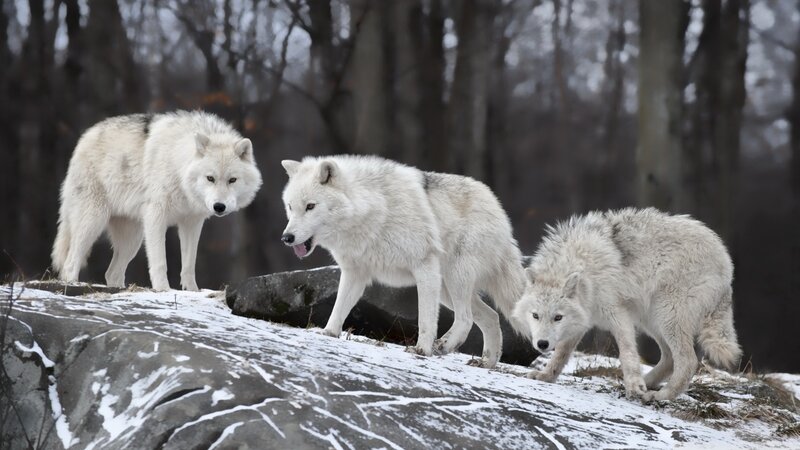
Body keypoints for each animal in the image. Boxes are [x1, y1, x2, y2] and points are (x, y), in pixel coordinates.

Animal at [52, 111, 262, 291]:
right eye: (210, 178)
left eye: (232, 180)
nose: (219, 207)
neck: (178, 165)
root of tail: (85, 137)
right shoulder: (156, 216)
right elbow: (160, 262)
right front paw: (163, 289)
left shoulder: (192, 223)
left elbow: (189, 264)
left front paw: (192, 291)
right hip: (94, 222)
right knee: (70, 263)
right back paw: (72, 284)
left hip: (132, 239)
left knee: (112, 273)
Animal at [279, 155, 526, 367]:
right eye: (290, 207)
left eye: (310, 206)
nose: (286, 238)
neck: (373, 210)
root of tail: (497, 207)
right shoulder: (354, 273)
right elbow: (339, 308)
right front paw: (328, 333)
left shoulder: (424, 266)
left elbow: (426, 319)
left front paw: (422, 350)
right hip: (446, 288)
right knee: (491, 316)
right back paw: (486, 362)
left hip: (454, 278)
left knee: (466, 318)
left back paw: (444, 346)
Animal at [512, 208, 741, 401]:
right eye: (535, 315)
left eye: (557, 317)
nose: (542, 344)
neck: (584, 267)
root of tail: (727, 262)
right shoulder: (583, 320)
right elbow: (561, 354)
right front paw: (545, 376)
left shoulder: (618, 314)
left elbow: (627, 353)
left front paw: (634, 386)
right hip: (651, 320)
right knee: (669, 359)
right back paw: (647, 384)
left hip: (666, 316)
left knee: (688, 361)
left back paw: (661, 395)